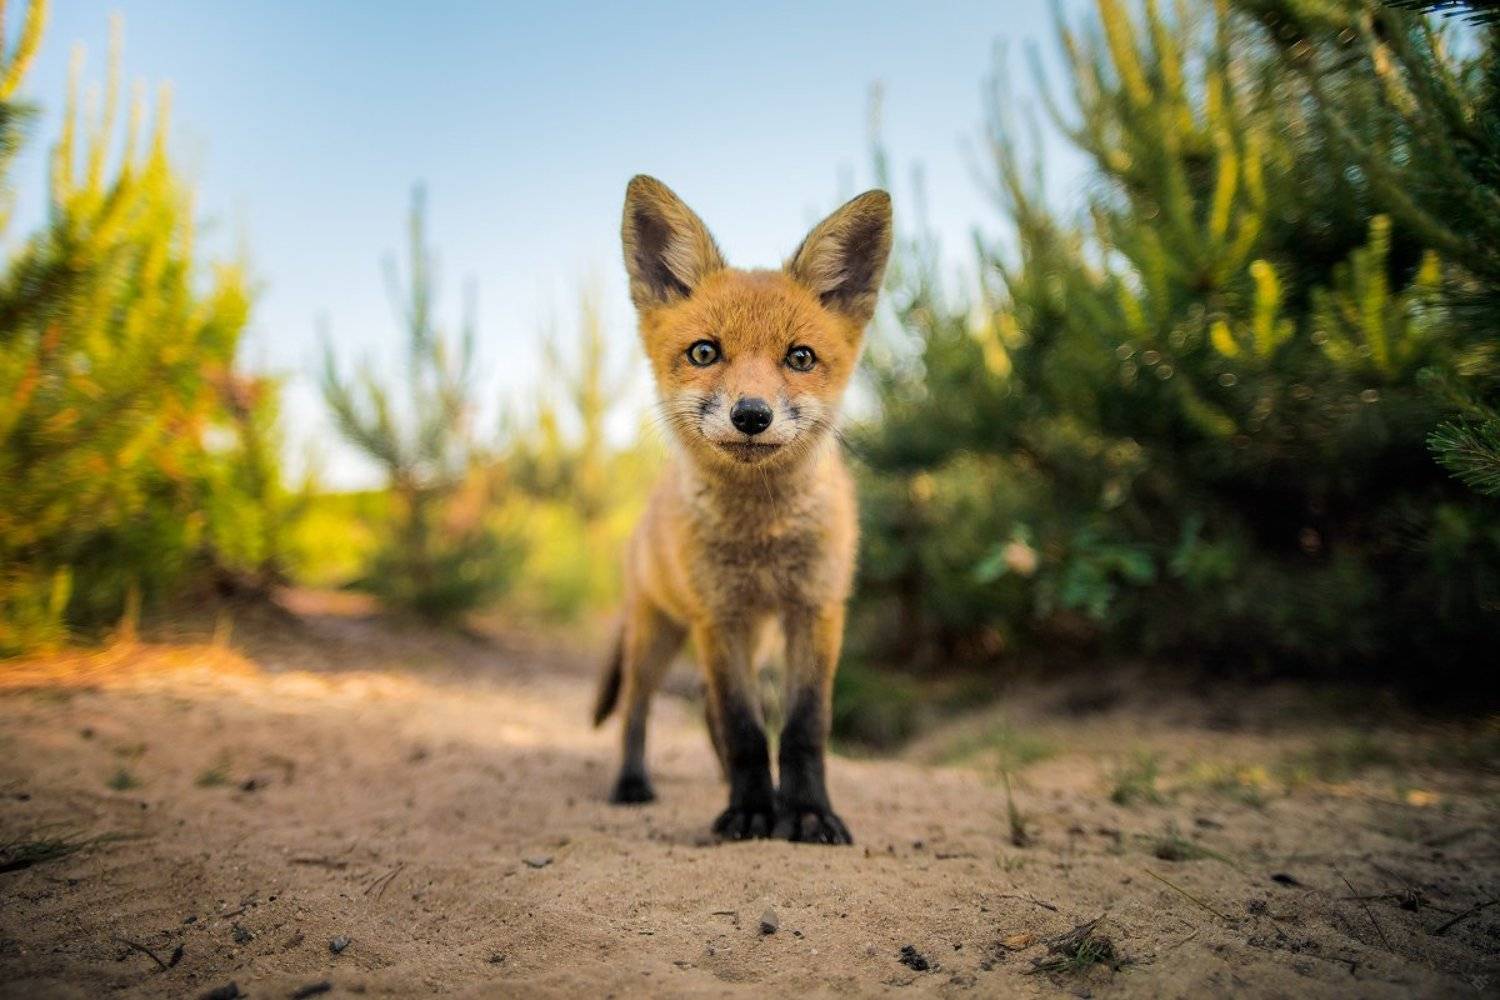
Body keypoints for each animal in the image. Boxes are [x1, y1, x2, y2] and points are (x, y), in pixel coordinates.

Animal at [591, 175, 892, 845]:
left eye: (800, 358)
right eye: (705, 353)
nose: (751, 415)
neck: (764, 534)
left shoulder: (815, 609)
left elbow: (803, 728)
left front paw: (806, 812)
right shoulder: (719, 614)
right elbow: (746, 728)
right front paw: (752, 811)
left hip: (753, 638)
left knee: (706, 710)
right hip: (658, 634)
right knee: (636, 710)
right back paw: (631, 783)